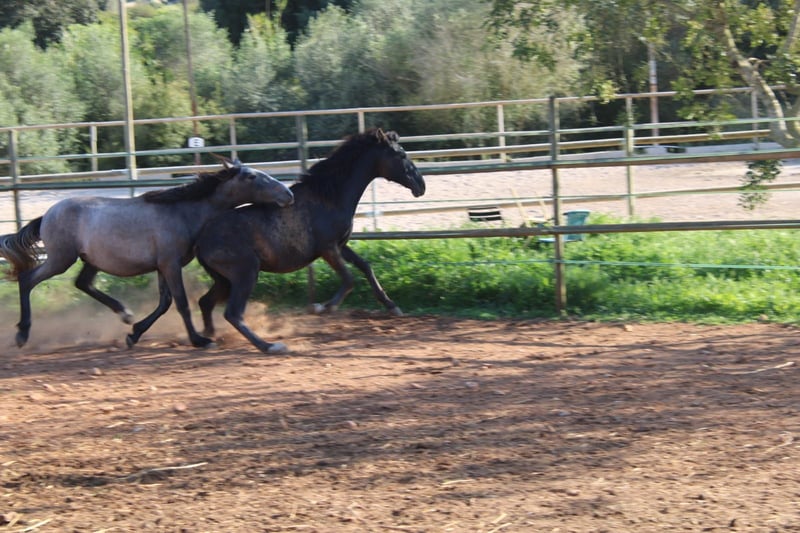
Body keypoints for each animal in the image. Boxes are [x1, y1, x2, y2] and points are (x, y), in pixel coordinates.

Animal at [0, 158, 294, 349]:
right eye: (252, 177)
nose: (288, 195)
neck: (183, 212)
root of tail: (48, 215)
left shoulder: (163, 266)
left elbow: (164, 303)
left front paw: (134, 334)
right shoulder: (170, 263)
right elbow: (181, 303)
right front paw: (200, 340)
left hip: (90, 260)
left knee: (82, 283)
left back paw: (124, 313)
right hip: (61, 259)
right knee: (28, 280)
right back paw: (22, 335)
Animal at [193, 128, 425, 354]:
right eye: (401, 154)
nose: (421, 186)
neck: (329, 197)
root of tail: (201, 241)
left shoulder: (340, 245)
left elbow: (365, 267)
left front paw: (392, 305)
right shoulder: (328, 249)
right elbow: (349, 279)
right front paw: (322, 307)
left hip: (224, 280)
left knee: (205, 302)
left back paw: (207, 337)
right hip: (246, 273)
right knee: (232, 313)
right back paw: (270, 346)